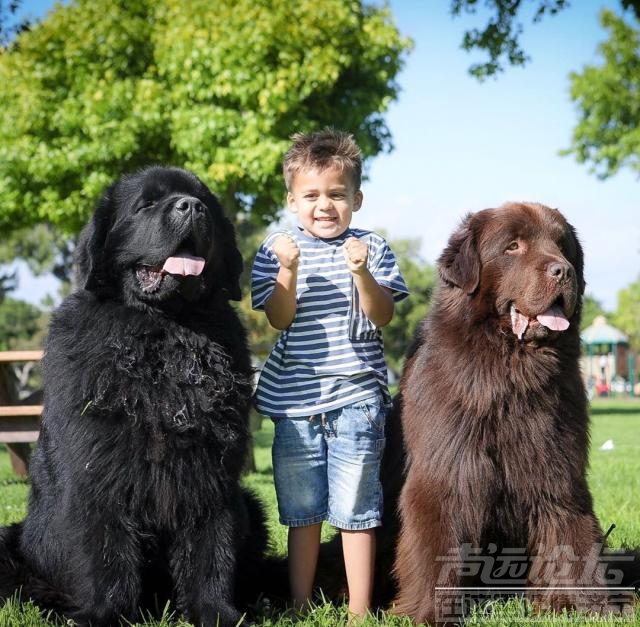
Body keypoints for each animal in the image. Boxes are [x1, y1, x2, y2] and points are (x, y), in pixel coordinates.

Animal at [0, 167, 266, 627]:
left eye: (205, 203)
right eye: (146, 204)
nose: (191, 207)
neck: (165, 333)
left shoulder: (212, 479)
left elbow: (211, 551)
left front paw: (216, 613)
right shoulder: (99, 477)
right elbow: (106, 556)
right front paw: (108, 616)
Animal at [390, 205, 636, 624]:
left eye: (562, 246)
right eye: (512, 247)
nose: (563, 271)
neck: (511, 371)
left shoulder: (555, 469)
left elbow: (569, 533)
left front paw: (587, 606)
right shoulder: (445, 472)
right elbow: (434, 544)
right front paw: (430, 613)